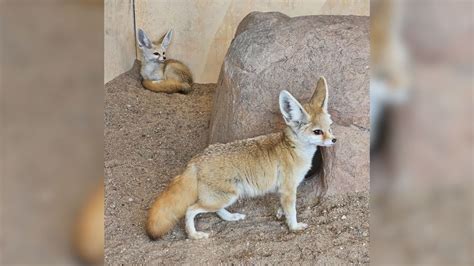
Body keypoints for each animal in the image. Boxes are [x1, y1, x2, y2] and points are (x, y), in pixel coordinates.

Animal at [146, 76, 336, 239]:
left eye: (330, 127)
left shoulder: (283, 190)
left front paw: (280, 213)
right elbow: (292, 211)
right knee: (190, 210)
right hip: (224, 197)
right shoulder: (288, 189)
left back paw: (231, 217)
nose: (334, 140)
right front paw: (294, 226)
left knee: (216, 211)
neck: (293, 149)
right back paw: (194, 234)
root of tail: (196, 160)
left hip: (226, 197)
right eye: (317, 132)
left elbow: (283, 206)